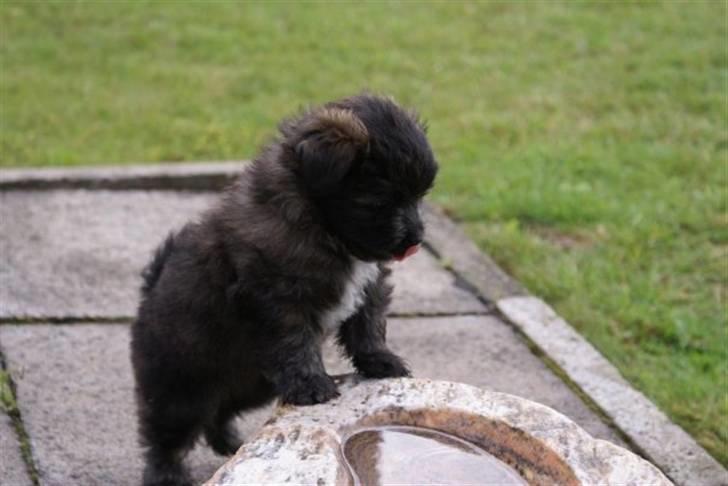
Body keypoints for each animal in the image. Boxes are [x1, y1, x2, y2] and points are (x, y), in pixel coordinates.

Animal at [129, 93, 438, 484]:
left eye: (419, 196)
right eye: (380, 201)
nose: (416, 240)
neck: (322, 228)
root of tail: (147, 294)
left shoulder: (370, 285)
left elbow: (368, 324)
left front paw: (381, 360)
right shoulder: (278, 299)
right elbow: (295, 343)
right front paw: (312, 385)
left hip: (252, 385)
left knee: (219, 412)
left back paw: (231, 441)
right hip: (181, 387)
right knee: (166, 435)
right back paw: (167, 473)